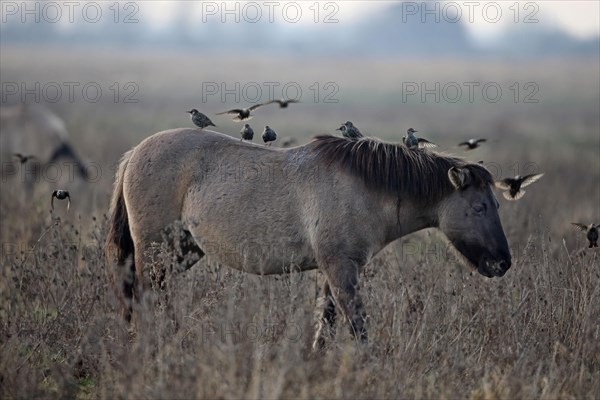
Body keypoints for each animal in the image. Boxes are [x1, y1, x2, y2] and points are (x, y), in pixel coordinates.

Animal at [104, 129, 510, 350]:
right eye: (479, 207)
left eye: (494, 205)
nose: (503, 263)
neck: (364, 187)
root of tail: (134, 154)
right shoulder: (341, 269)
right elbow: (356, 324)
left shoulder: (331, 271)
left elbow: (326, 322)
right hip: (155, 250)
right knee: (146, 296)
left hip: (181, 251)